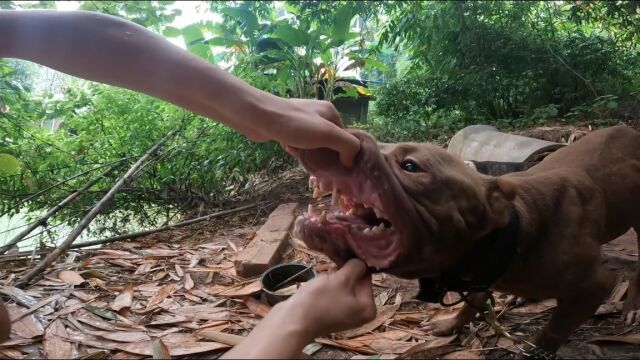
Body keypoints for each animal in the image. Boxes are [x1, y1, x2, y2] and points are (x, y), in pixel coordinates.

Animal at [294, 124, 640, 352]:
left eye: (410, 165)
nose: (341, 137)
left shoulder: (594, 285)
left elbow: (553, 331)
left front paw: (538, 350)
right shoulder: (479, 274)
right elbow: (473, 303)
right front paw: (449, 324)